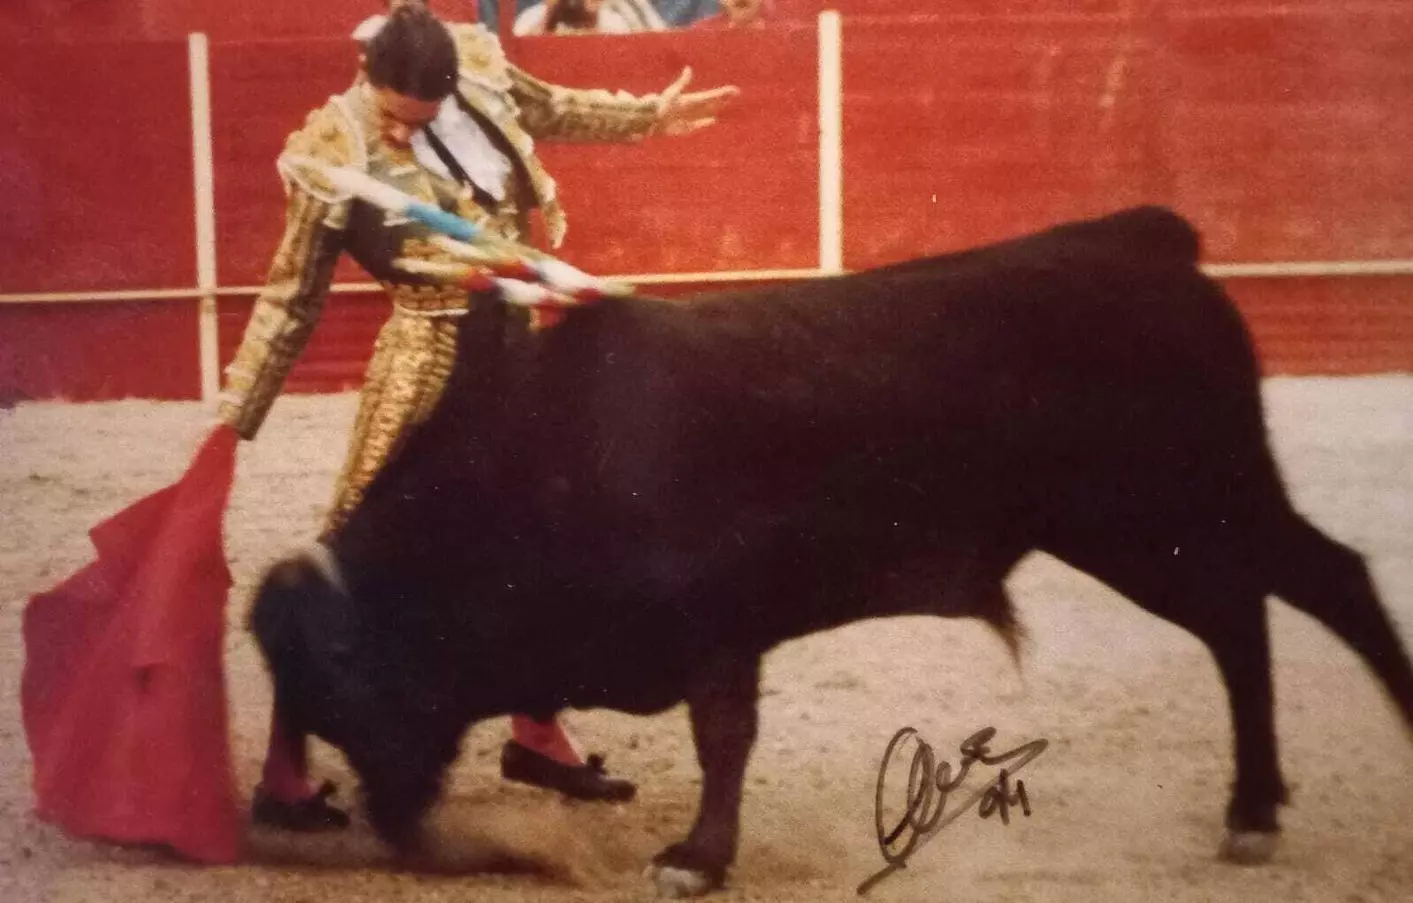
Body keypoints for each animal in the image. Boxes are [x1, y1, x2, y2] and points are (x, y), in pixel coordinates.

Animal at [250, 207, 1413, 897]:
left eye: (349, 676)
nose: (402, 832)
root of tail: (1148, 245)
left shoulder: (718, 629)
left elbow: (724, 738)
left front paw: (696, 860)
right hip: (1140, 529)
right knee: (1240, 619)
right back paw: (1252, 811)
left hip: (1188, 502)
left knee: (1326, 584)